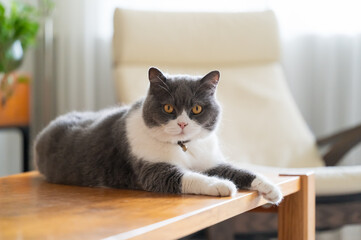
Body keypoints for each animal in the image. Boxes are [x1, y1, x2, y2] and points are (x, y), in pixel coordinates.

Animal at [34, 67, 282, 204]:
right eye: (169, 108)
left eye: (197, 109)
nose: (182, 123)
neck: (183, 147)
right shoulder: (152, 169)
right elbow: (187, 177)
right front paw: (221, 185)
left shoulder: (208, 160)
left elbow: (237, 171)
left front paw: (271, 189)